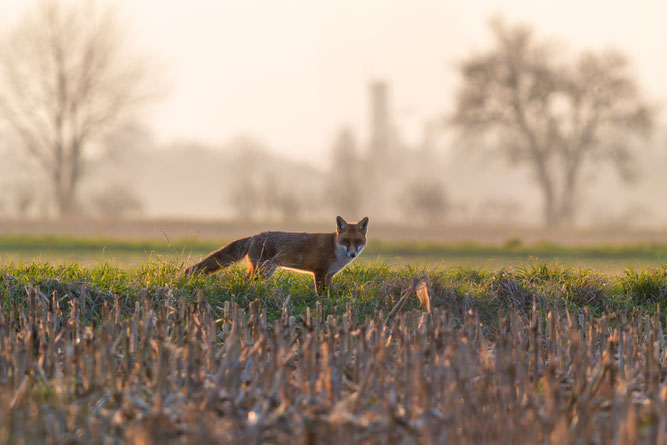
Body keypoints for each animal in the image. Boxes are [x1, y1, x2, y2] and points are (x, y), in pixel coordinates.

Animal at [182, 216, 369, 293]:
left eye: (357, 241)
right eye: (346, 241)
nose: (353, 254)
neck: (335, 249)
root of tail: (254, 236)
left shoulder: (329, 275)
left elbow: (329, 292)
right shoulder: (319, 272)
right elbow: (320, 293)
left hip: (264, 271)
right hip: (262, 270)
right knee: (245, 281)